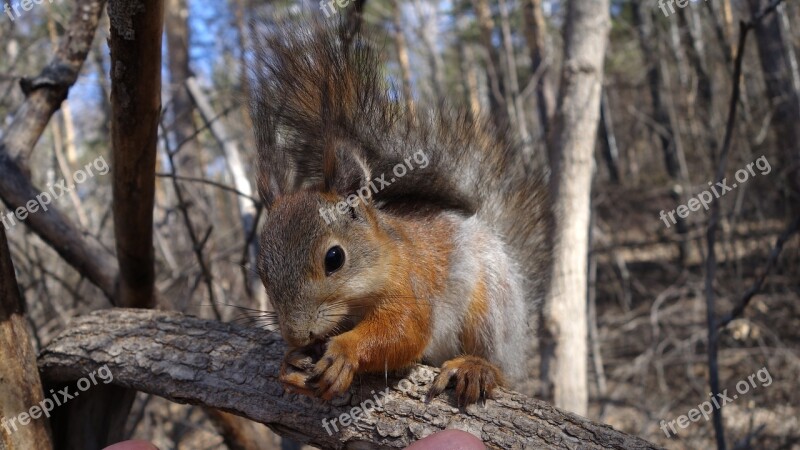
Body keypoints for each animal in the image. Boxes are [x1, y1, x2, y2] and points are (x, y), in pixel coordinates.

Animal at [253, 21, 552, 406]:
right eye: (261, 272)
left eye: (334, 258)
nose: (296, 334)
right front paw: (290, 362)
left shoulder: (411, 282)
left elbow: (405, 330)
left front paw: (345, 352)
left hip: (491, 303)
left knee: (497, 362)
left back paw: (477, 367)